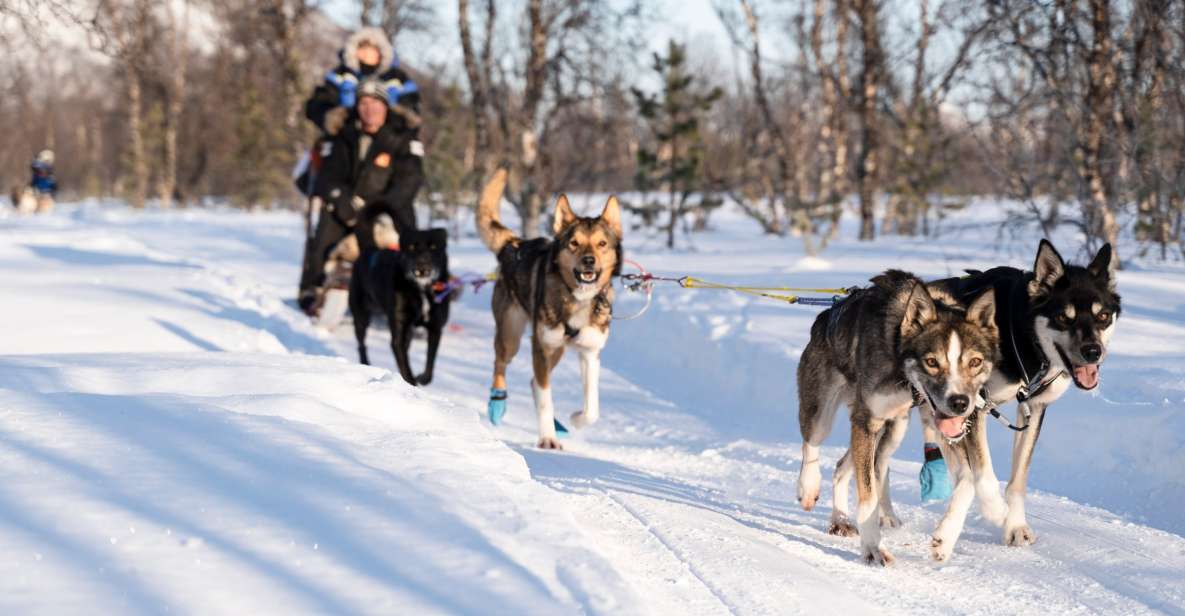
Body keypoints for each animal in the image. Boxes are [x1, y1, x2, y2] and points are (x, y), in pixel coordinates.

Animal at [476, 168, 625, 447]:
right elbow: (546, 398)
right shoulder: (542, 349)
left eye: (602, 244)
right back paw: (497, 404)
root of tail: (514, 244)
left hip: (557, 350)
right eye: (574, 243)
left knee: (534, 381)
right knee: (501, 364)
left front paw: (577, 418)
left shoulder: (590, 352)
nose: (589, 261)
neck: (577, 298)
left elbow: (592, 408)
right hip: (513, 336)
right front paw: (547, 439)